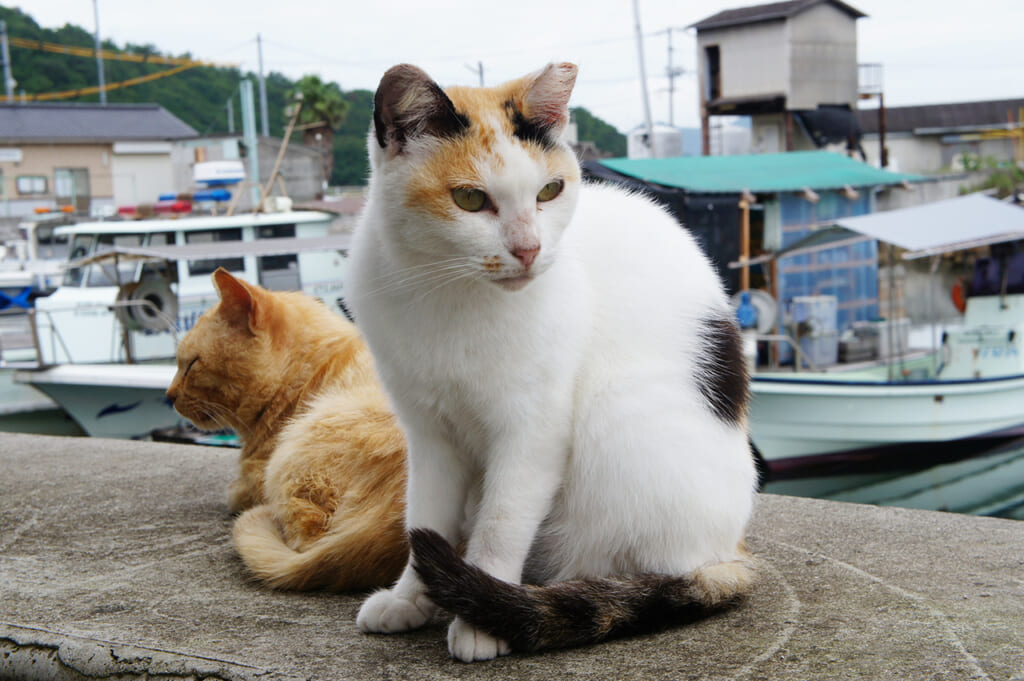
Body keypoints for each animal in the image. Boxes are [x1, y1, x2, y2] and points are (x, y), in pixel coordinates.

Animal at [166, 270, 407, 589]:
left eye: (191, 364)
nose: (168, 395)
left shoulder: (258, 475)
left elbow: (238, 492)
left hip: (289, 460)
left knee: (305, 537)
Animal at [348, 62, 757, 659]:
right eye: (469, 199)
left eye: (549, 191)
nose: (529, 250)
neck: (447, 293)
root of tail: (730, 549)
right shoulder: (428, 433)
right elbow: (425, 517)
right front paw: (410, 597)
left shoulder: (532, 433)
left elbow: (501, 524)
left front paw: (481, 616)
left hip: (615, 418)